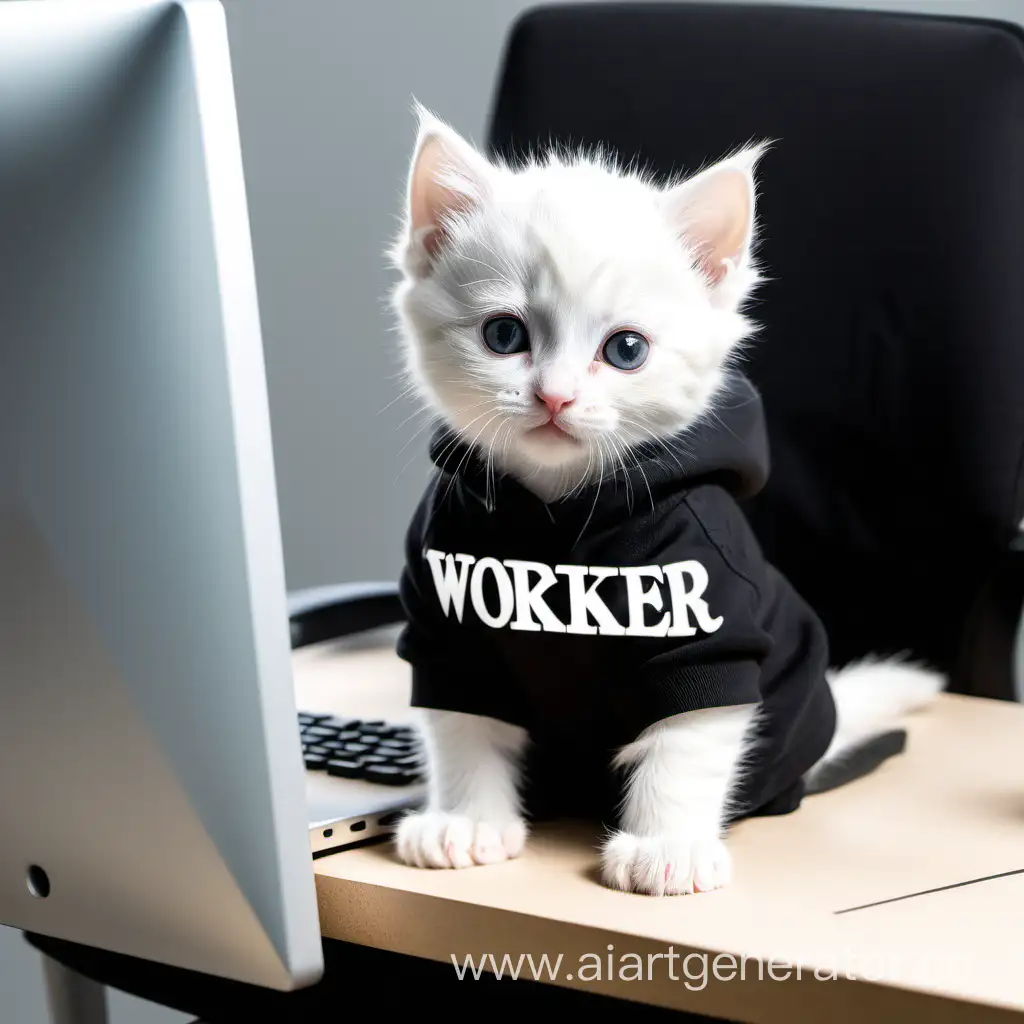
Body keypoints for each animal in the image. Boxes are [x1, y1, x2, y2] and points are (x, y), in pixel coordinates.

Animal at [387, 101, 937, 888]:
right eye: (503, 335)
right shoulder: (446, 625)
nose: (555, 396)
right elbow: (463, 725)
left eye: (626, 350)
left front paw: (666, 846)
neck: (559, 507)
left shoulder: (707, 627)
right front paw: (466, 821)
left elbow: (686, 741)